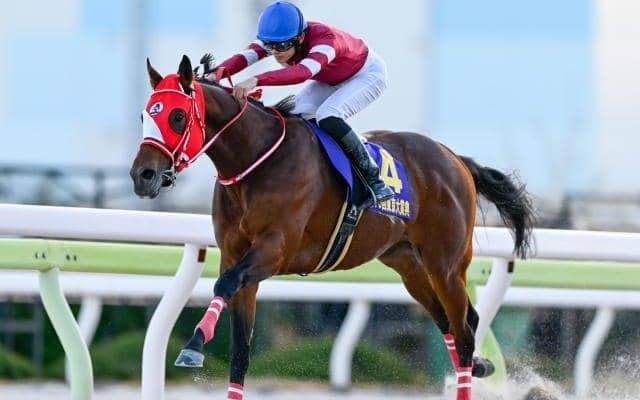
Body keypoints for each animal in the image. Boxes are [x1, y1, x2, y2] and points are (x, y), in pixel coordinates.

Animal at [130, 55, 534, 400]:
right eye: (145, 116)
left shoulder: (274, 251)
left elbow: (224, 284)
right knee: (456, 322)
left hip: (446, 263)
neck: (255, 161)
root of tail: (454, 158)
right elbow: (239, 352)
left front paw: (193, 346)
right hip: (408, 264)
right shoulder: (237, 257)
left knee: (464, 334)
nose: (142, 175)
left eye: (177, 117)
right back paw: (480, 363)